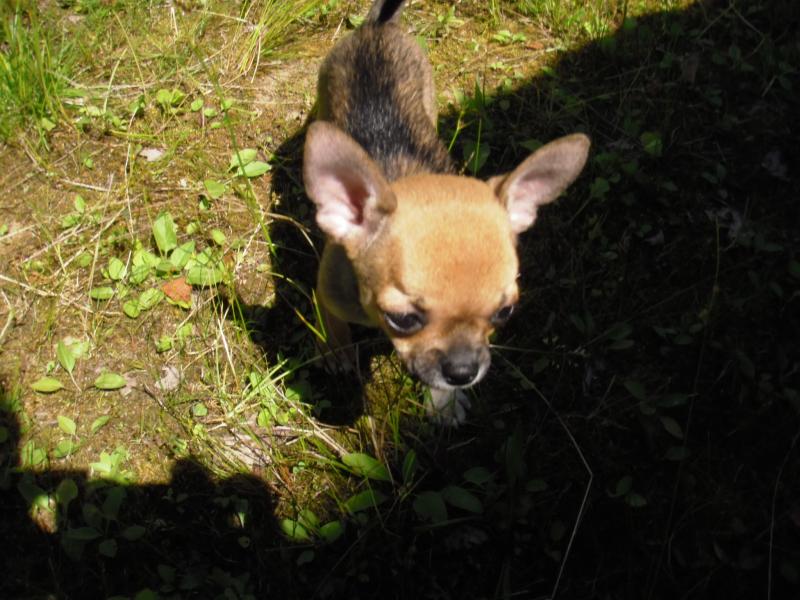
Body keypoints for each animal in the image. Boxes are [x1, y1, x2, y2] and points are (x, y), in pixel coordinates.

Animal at [302, 0, 590, 425]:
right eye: (403, 319)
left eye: (504, 312)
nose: (462, 370)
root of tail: (377, 27)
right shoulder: (329, 290)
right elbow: (331, 319)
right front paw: (334, 349)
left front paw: (444, 402)